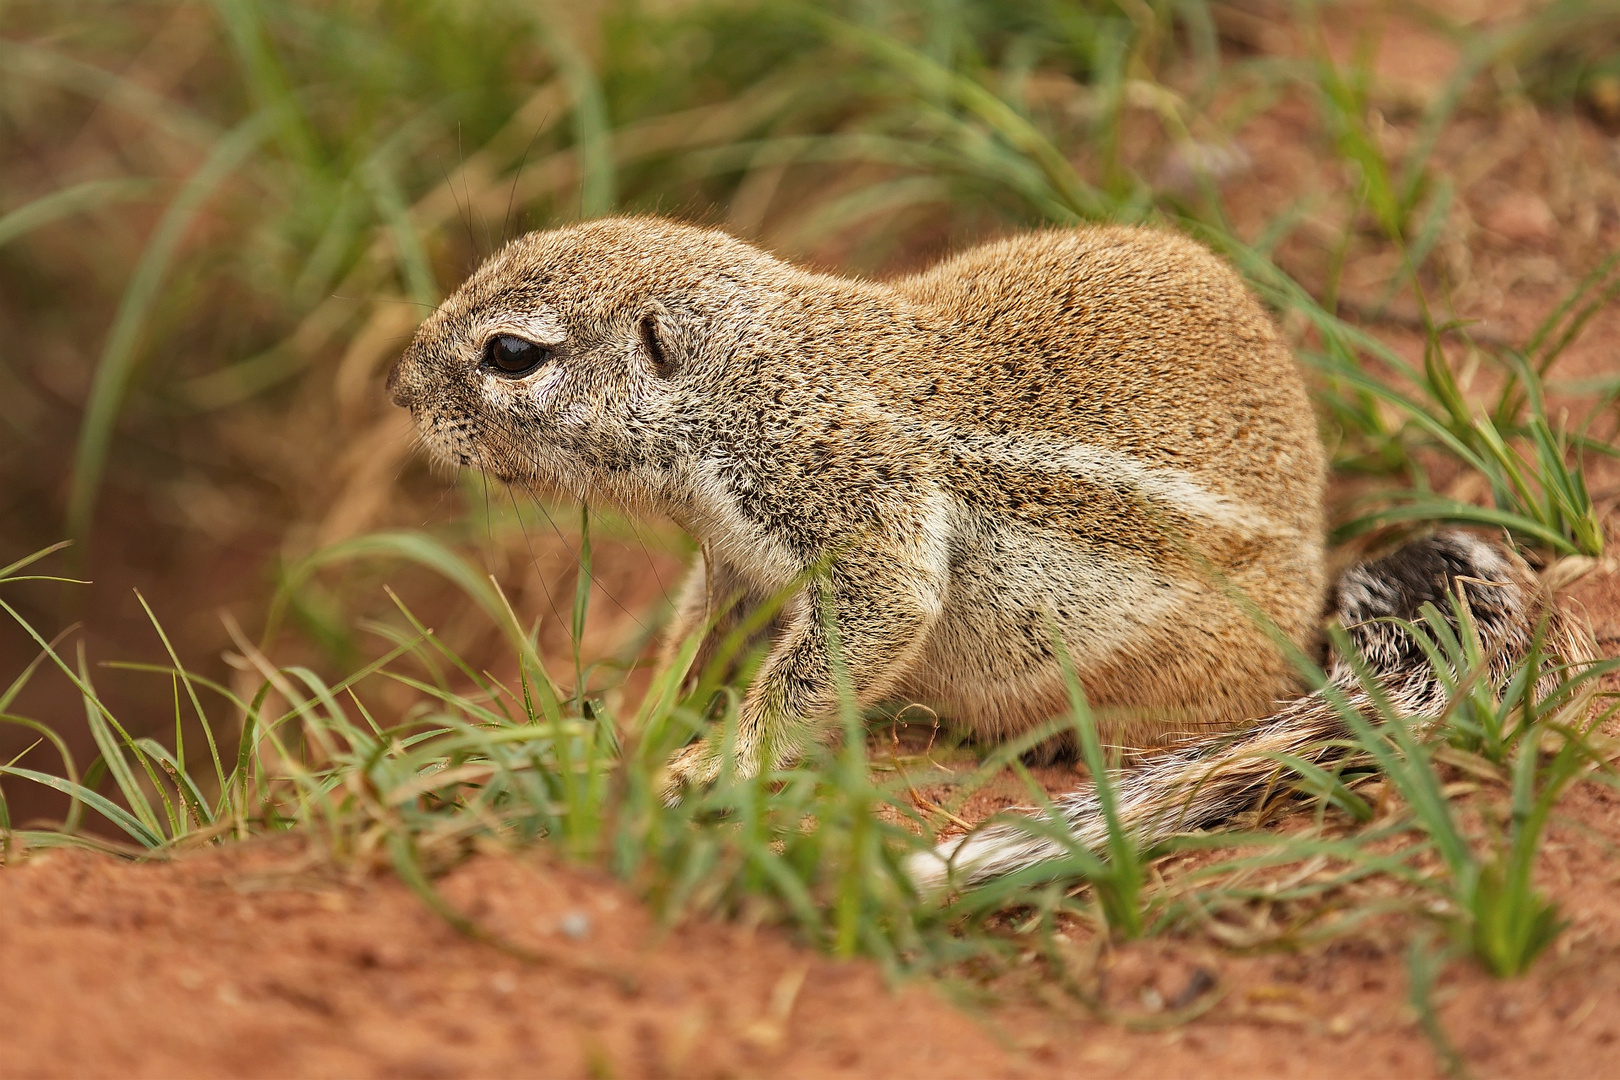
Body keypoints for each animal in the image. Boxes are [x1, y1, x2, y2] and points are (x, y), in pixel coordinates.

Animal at [388, 216, 1581, 887]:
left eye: (512, 353)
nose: (398, 393)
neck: (747, 382)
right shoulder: (734, 562)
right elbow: (701, 633)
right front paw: (639, 727)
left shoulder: (854, 501)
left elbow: (862, 628)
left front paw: (710, 769)